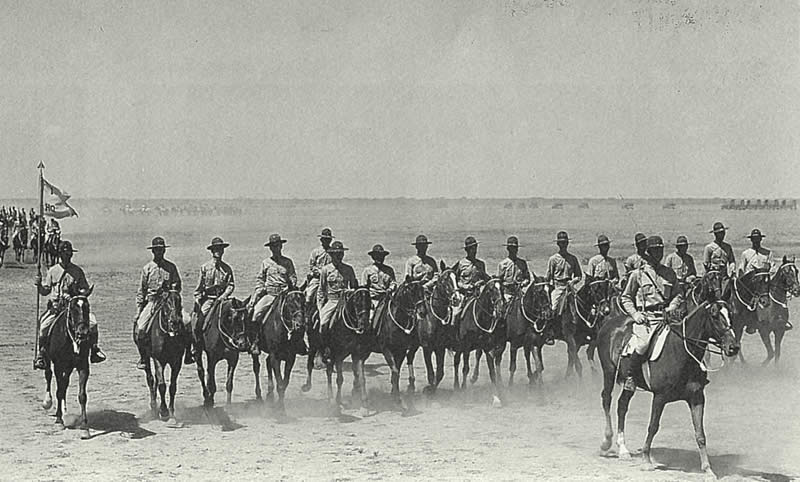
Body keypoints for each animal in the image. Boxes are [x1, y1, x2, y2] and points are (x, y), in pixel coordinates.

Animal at [42, 287, 94, 439]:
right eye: (73, 309)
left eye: (87, 307)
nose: (83, 333)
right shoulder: (59, 366)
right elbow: (59, 391)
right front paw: (59, 421)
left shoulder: (83, 366)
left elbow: (82, 396)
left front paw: (85, 428)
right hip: (48, 359)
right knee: (48, 375)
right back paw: (48, 402)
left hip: (69, 367)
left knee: (64, 383)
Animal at [139, 287, 187, 424]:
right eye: (166, 302)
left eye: (179, 301)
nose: (175, 321)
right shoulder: (158, 359)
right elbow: (162, 385)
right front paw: (164, 412)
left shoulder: (176, 361)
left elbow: (172, 386)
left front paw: (171, 413)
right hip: (147, 359)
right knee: (150, 379)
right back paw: (154, 407)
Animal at [353, 280, 426, 408]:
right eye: (412, 292)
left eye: (422, 291)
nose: (423, 312)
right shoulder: (386, 350)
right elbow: (395, 371)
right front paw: (396, 397)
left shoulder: (401, 350)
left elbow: (396, 371)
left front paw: (394, 394)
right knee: (358, 365)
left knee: (359, 364)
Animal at [416, 265, 458, 394]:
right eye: (444, 280)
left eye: (457, 278)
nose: (456, 298)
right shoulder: (427, 348)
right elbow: (431, 373)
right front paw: (429, 389)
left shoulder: (440, 348)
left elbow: (439, 373)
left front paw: (431, 389)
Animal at [597, 295, 740, 477]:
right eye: (714, 316)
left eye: (731, 314)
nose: (733, 347)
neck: (681, 352)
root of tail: (610, 323)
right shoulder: (660, 397)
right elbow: (653, 427)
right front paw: (646, 460)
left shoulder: (697, 397)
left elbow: (700, 433)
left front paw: (708, 469)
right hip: (608, 373)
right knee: (606, 400)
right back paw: (606, 441)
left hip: (629, 385)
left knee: (622, 406)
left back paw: (623, 448)